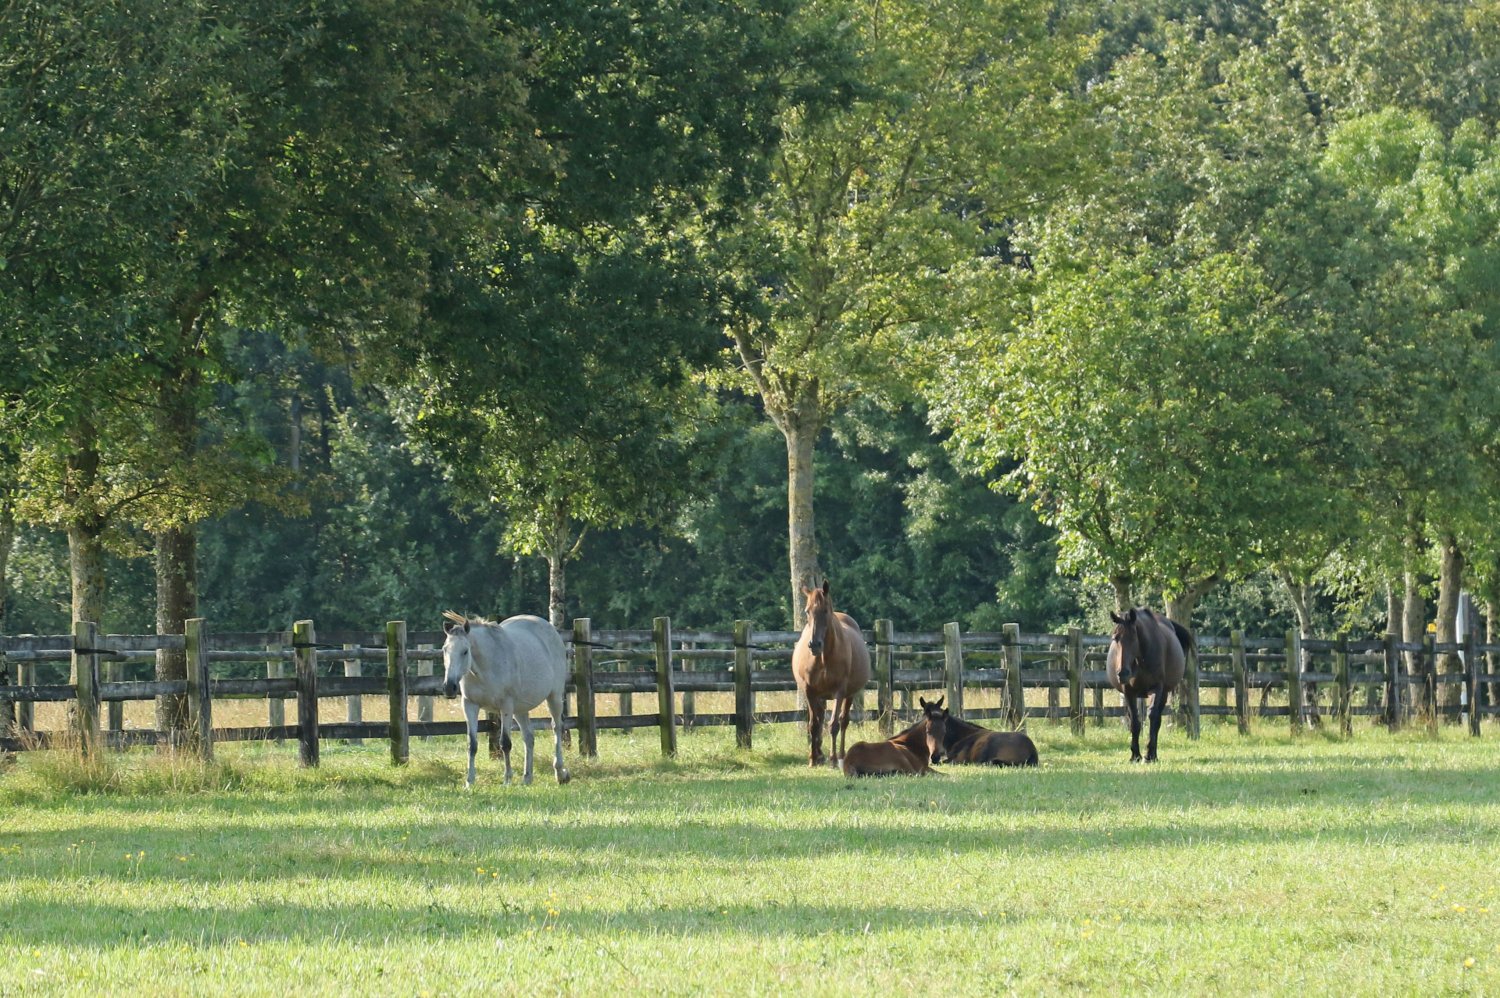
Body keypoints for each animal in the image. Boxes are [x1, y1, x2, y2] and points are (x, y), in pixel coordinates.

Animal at [441, 611, 571, 788]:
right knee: (529, 738)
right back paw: (527, 777)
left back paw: (560, 773)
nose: (449, 687)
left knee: (556, 728)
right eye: (444, 650)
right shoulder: (469, 705)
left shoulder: (506, 706)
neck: (486, 667)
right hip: (521, 709)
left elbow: (505, 743)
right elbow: (472, 745)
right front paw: (469, 782)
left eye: (465, 651)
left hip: (554, 697)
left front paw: (507, 780)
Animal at [791, 581, 872, 768]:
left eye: (825, 611)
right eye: (807, 611)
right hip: (820, 696)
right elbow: (813, 724)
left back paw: (841, 756)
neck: (823, 658)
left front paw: (833, 759)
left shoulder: (839, 692)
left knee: (843, 721)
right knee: (820, 719)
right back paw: (819, 755)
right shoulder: (810, 691)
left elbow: (834, 724)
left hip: (850, 694)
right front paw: (813, 759)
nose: (814, 644)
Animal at [1106, 607, 1193, 763]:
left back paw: (1153, 754)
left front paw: (1148, 754)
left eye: (1133, 637)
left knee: (1157, 719)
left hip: (1164, 693)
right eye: (1115, 638)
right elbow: (1135, 721)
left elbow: (1152, 717)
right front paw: (1135, 755)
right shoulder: (1129, 692)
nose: (1122, 673)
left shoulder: (1157, 688)